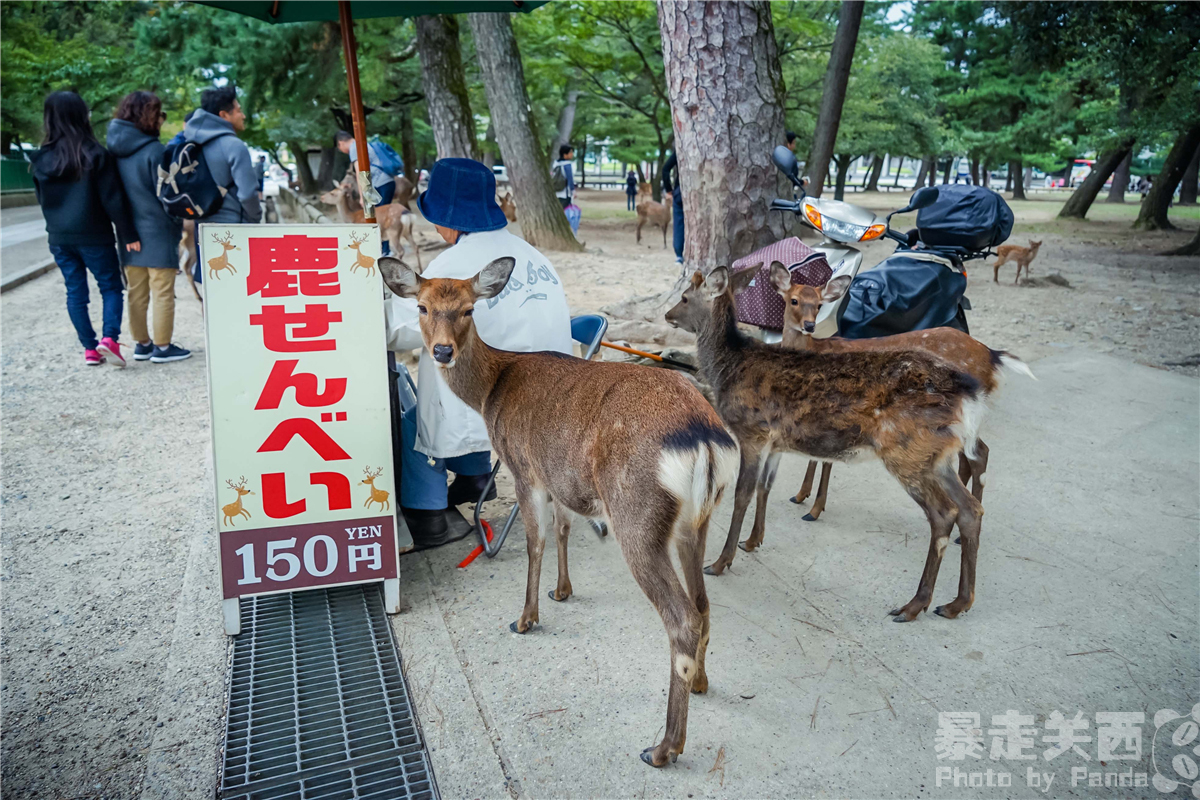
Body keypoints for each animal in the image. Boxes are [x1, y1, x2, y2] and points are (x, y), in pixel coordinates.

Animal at [379, 253, 739, 767]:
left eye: (468, 309)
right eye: (423, 307)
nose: (442, 351)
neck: (491, 391)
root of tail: (706, 440)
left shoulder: (525, 467)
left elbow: (536, 542)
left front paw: (524, 618)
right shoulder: (559, 477)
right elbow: (566, 529)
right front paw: (562, 591)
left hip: (636, 515)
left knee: (681, 618)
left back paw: (664, 746)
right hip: (698, 519)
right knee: (704, 604)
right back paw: (705, 683)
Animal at [667, 266, 1003, 623]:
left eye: (685, 297)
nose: (667, 314)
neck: (728, 368)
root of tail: (969, 389)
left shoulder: (752, 432)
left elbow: (741, 495)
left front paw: (720, 562)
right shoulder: (775, 442)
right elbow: (764, 487)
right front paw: (753, 541)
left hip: (907, 449)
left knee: (943, 513)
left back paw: (914, 605)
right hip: (935, 456)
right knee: (970, 508)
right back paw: (957, 603)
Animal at [772, 262, 1036, 525]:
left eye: (819, 305)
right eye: (794, 300)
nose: (809, 326)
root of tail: (992, 355)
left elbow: (824, 459)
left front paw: (814, 510)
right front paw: (800, 496)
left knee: (978, 453)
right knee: (972, 454)